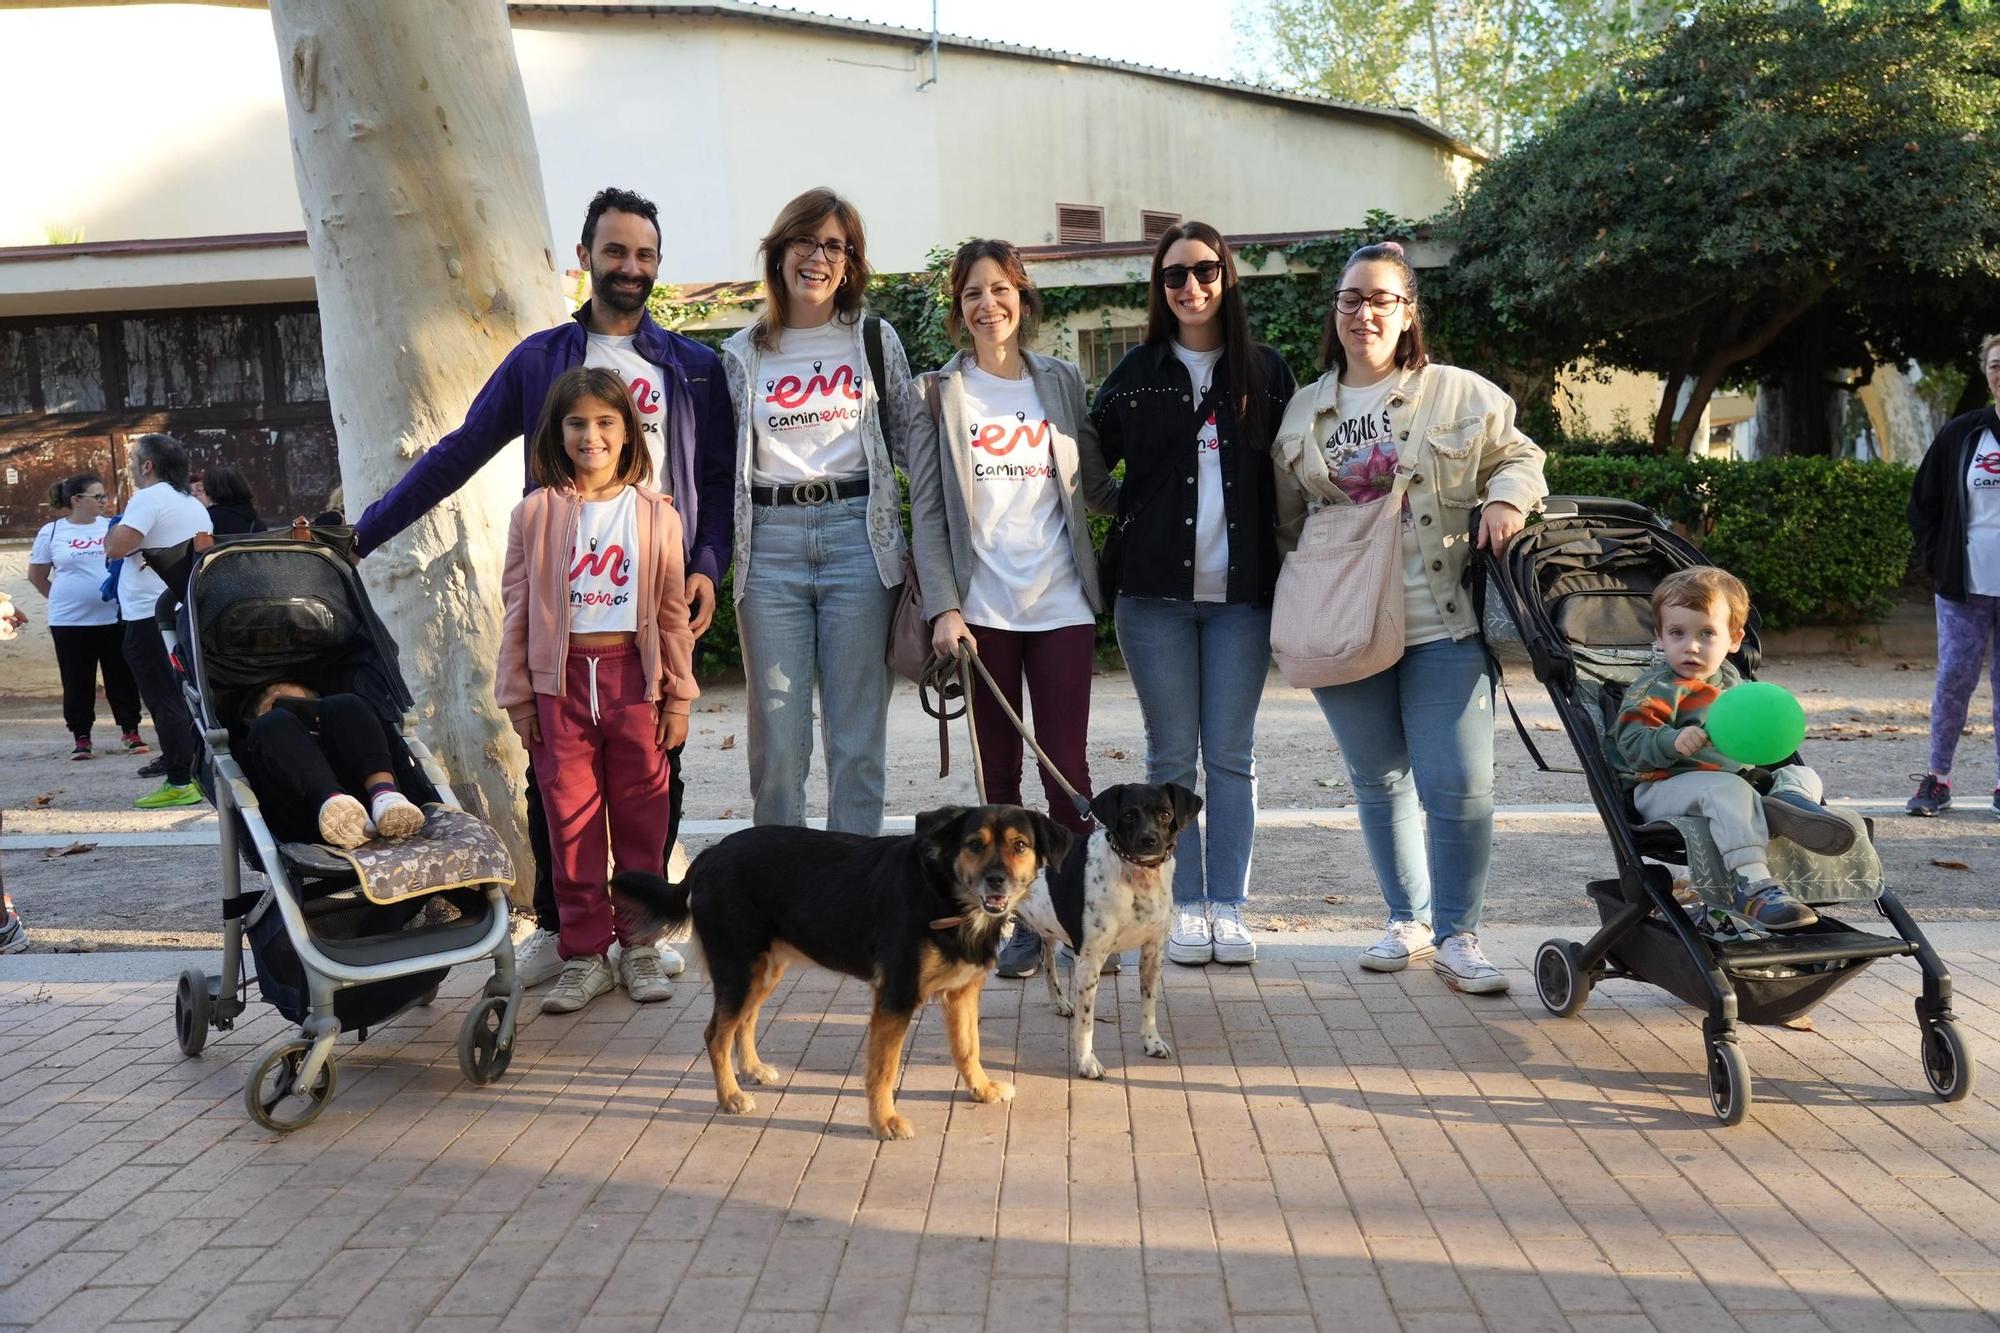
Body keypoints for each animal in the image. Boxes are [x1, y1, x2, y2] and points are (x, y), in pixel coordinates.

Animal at [616, 804, 1072, 1136]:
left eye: (1019, 845)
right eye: (975, 844)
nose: (996, 881)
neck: (943, 894)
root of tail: (711, 854)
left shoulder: (962, 991)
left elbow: (967, 1047)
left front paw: (981, 1089)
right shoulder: (896, 996)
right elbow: (884, 1070)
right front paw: (884, 1121)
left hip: (763, 970)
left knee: (743, 1021)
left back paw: (753, 1070)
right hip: (739, 968)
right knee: (715, 1034)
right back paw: (730, 1096)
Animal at [1016, 784, 1200, 1072]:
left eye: (1165, 814)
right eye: (1128, 815)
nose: (1149, 840)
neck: (1135, 876)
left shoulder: (1152, 953)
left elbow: (1149, 1006)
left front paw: (1152, 1042)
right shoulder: (1089, 962)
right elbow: (1085, 1024)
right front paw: (1086, 1062)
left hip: (1047, 926)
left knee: (1048, 963)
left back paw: (1059, 1002)